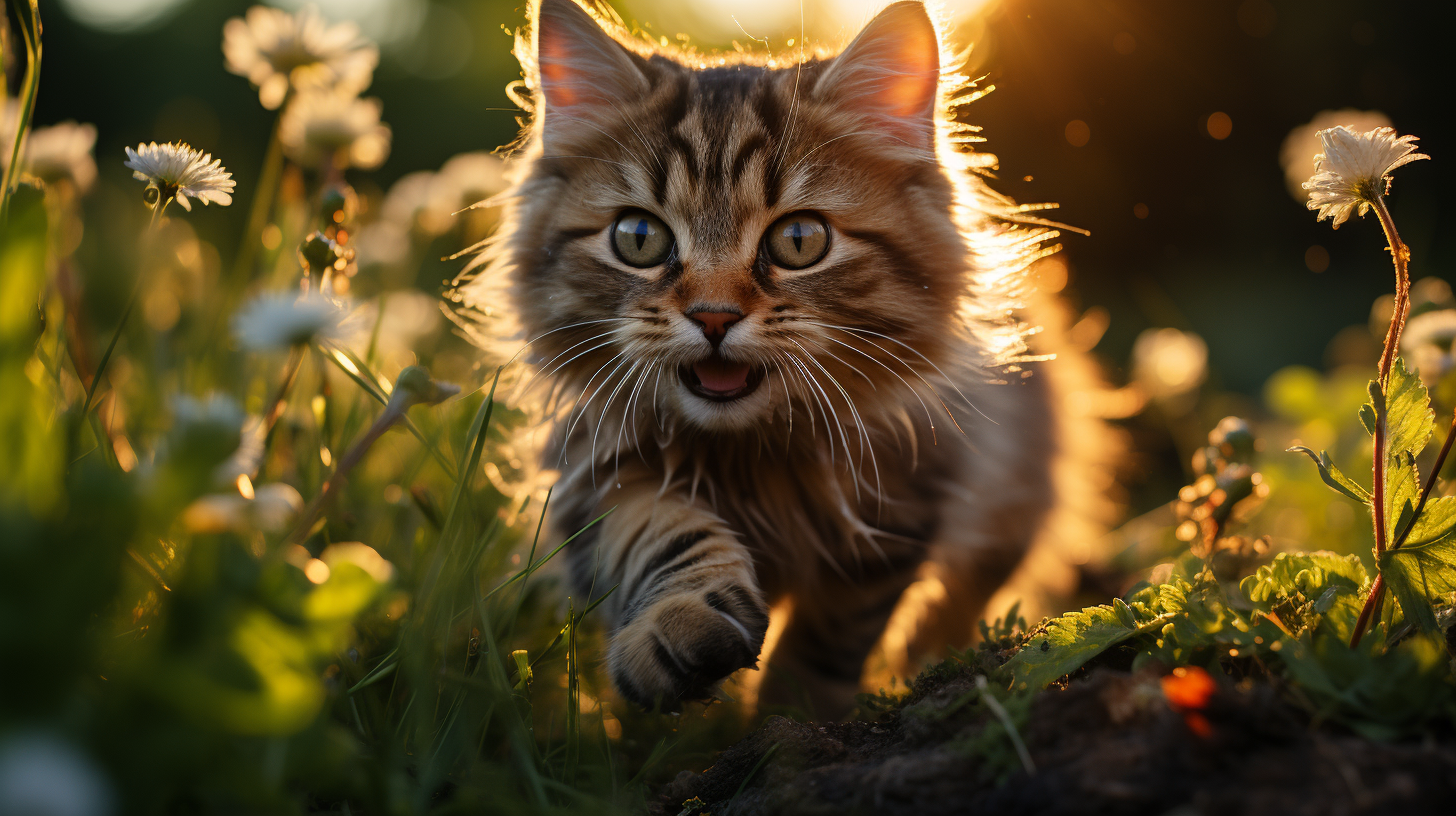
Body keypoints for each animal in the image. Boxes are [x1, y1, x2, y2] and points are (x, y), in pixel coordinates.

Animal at [460, 0, 1118, 716]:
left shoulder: (899, 507)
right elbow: (660, 534)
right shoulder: (595, 470)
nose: (714, 317)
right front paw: (679, 632)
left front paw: (789, 725)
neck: (752, 457)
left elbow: (825, 640)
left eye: (799, 241)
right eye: (639, 238)